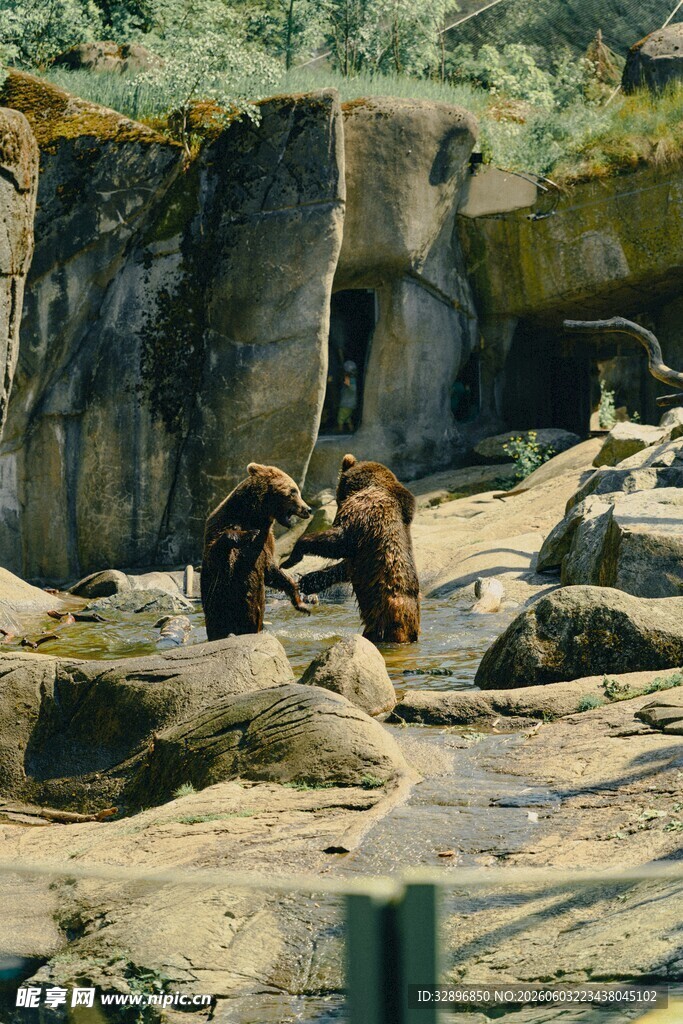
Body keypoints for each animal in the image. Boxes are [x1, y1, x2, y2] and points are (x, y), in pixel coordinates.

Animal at [201, 463, 313, 640]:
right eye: (294, 491)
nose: (308, 509)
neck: (254, 514)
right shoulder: (221, 523)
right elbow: (217, 553)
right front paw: (249, 534)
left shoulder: (267, 542)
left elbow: (272, 571)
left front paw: (302, 604)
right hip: (216, 609)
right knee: (216, 627)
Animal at [281, 454, 420, 643]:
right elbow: (345, 566)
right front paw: (308, 580)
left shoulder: (366, 511)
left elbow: (342, 541)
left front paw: (292, 557)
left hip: (385, 618)